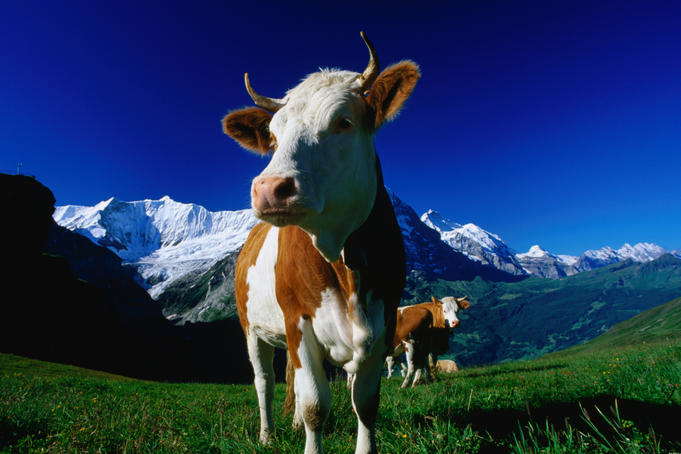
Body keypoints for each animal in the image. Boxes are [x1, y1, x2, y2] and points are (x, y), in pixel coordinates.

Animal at [222, 32, 419, 454]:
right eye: (273, 137)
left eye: (344, 121)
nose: (269, 188)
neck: (344, 261)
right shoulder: (298, 322)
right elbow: (315, 406)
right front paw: (305, 432)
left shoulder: (384, 321)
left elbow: (365, 403)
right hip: (252, 329)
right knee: (265, 382)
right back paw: (267, 434)